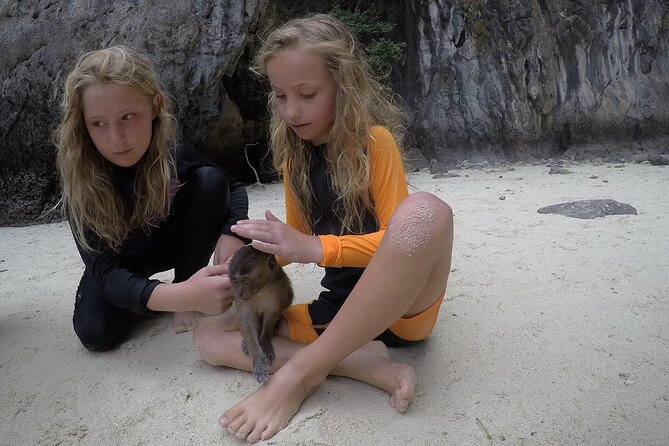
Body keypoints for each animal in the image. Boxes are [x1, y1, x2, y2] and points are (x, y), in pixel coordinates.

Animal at [228, 245, 294, 383]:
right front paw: (257, 358)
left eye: (245, 282)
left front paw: (265, 342)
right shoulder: (240, 300)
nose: (239, 292)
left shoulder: (278, 288)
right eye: (234, 280)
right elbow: (245, 319)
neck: (259, 290)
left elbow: (271, 313)